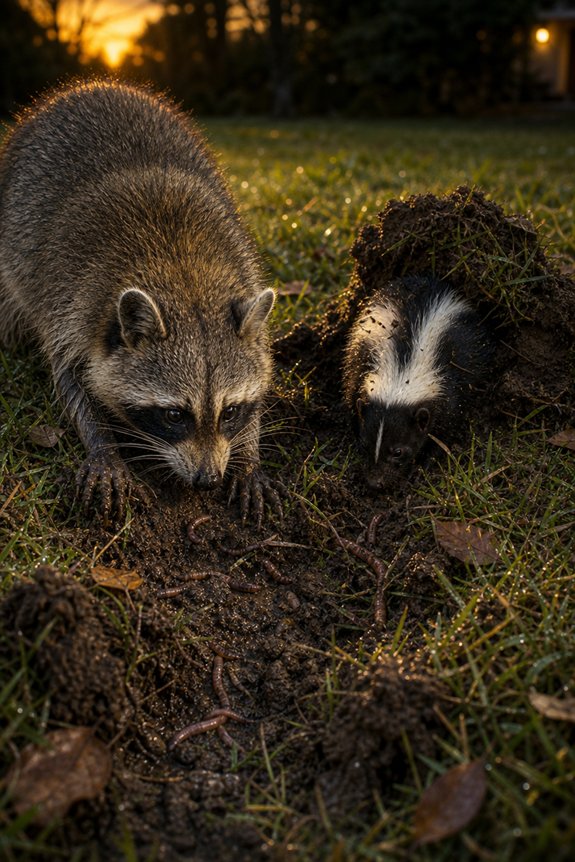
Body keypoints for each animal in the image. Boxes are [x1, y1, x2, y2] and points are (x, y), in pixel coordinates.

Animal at [0, 80, 278, 525]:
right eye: (174, 415)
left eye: (230, 411)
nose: (207, 480)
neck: (184, 277)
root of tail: (96, 86)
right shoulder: (70, 303)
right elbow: (69, 377)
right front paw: (104, 446)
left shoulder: (244, 269)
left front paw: (248, 455)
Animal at [343, 276, 493, 490]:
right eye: (365, 444)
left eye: (398, 452)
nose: (375, 481)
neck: (402, 369)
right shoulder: (360, 355)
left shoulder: (449, 386)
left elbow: (447, 426)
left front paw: (426, 462)